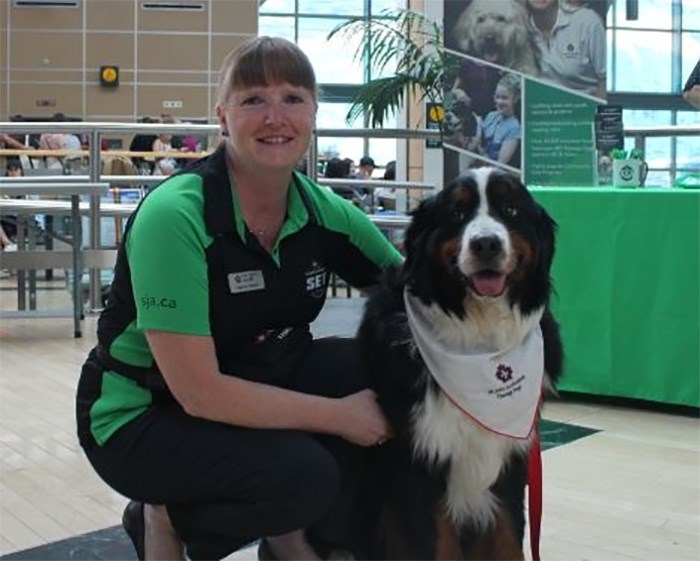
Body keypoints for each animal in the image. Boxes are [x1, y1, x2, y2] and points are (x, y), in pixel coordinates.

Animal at [356, 167, 564, 560]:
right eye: (457, 213)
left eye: (511, 210)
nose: (486, 244)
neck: (479, 341)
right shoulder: (423, 465)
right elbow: (438, 546)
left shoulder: (511, 463)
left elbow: (509, 541)